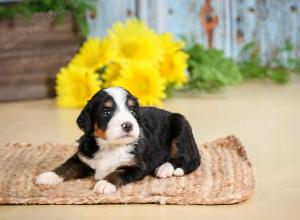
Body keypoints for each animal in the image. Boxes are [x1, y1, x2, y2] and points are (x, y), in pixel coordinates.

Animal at [37, 87, 202, 193]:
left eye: (132, 110)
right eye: (106, 111)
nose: (128, 125)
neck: (110, 146)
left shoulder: (136, 167)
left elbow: (117, 172)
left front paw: (105, 183)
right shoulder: (83, 157)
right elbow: (67, 166)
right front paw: (48, 176)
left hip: (181, 125)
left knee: (186, 159)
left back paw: (165, 168)